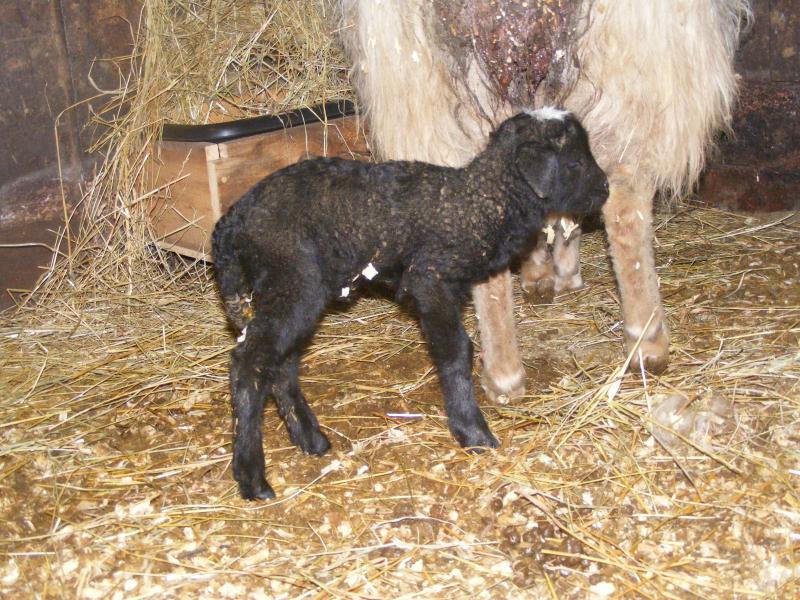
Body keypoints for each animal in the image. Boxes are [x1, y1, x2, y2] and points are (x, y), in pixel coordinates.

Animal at [212, 109, 609, 500]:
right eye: (574, 162)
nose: (605, 188)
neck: (480, 203)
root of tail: (233, 220)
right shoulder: (430, 278)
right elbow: (455, 350)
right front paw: (473, 432)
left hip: (293, 291)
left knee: (280, 362)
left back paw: (310, 439)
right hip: (293, 279)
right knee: (249, 362)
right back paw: (252, 478)